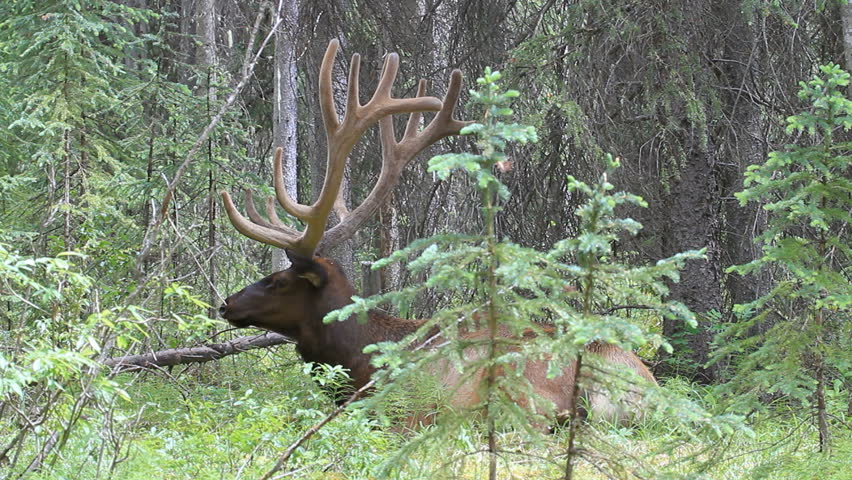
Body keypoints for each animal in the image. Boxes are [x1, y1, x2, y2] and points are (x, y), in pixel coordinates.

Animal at [218, 39, 657, 427]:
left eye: (278, 280)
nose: (226, 304)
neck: (360, 358)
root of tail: (645, 385)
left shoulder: (401, 411)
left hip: (517, 391)